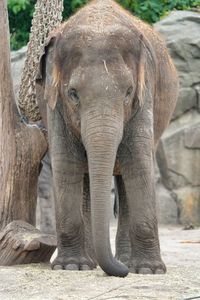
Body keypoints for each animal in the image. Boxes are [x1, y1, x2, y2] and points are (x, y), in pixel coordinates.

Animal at [35, 0, 179, 278]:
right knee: (85, 176)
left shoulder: (145, 93)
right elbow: (66, 163)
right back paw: (89, 263)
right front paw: (70, 266)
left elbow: (138, 163)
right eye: (73, 93)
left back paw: (127, 261)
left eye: (128, 92)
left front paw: (149, 271)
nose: (119, 271)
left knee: (124, 178)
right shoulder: (54, 102)